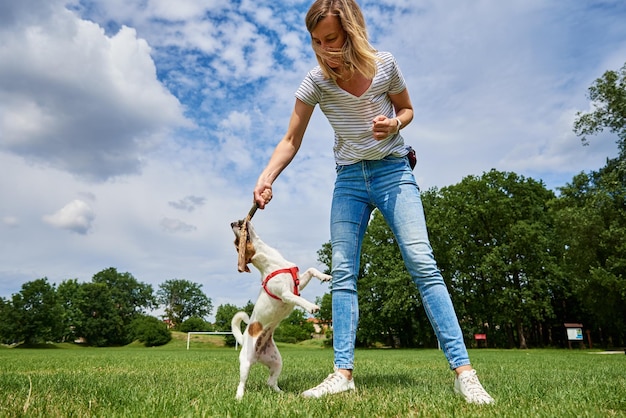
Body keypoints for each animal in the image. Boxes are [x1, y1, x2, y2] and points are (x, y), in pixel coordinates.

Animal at [227, 219, 330, 398]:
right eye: (237, 243)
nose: (233, 222)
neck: (274, 262)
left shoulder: (298, 284)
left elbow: (311, 270)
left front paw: (324, 276)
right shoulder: (286, 294)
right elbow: (299, 299)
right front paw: (311, 306)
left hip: (276, 362)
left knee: (270, 382)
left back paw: (282, 393)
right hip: (245, 363)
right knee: (242, 383)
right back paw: (239, 397)